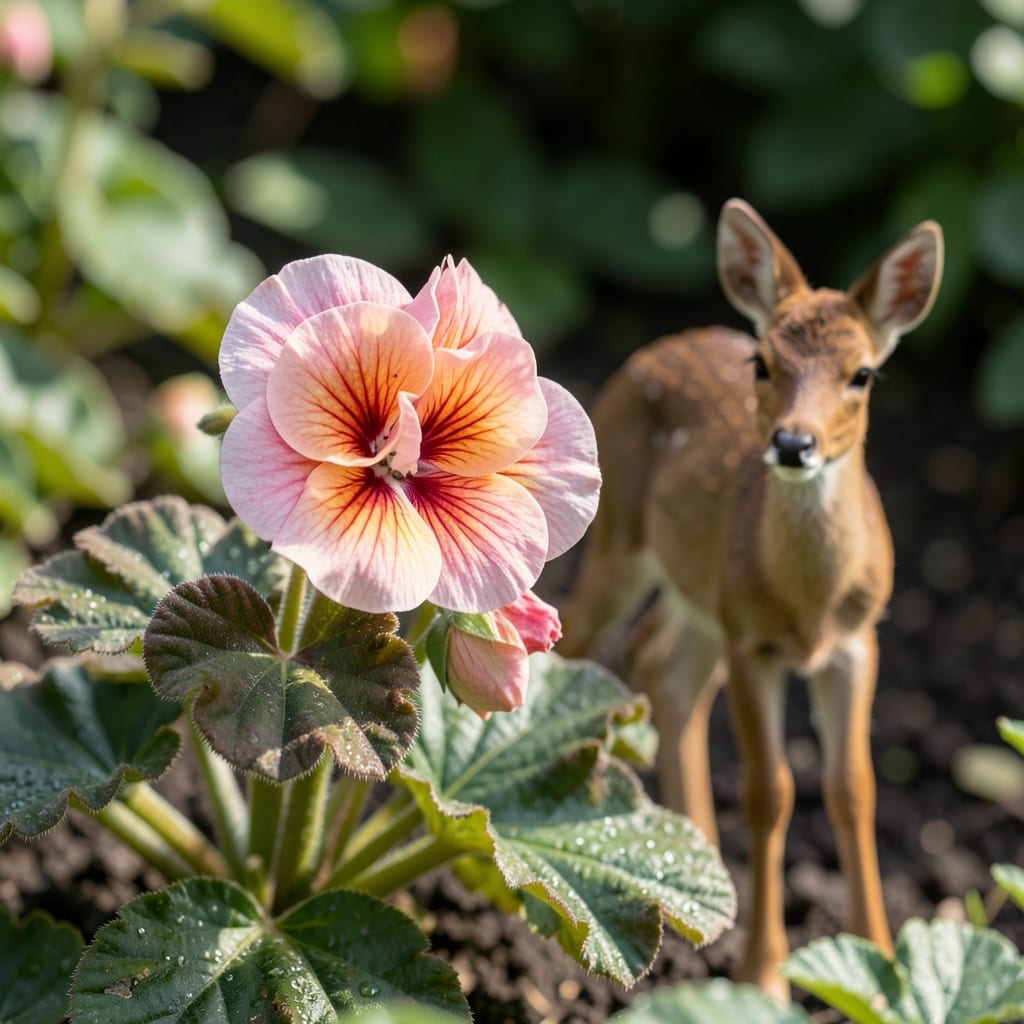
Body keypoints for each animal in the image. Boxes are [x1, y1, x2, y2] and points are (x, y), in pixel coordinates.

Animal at [559, 199, 943, 1000]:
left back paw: (696, 860)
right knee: (576, 638)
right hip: (620, 539)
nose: (794, 444)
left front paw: (881, 963)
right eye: (762, 362)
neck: (810, 607)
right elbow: (772, 793)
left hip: (701, 595)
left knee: (660, 662)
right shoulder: (752, 644)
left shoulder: (860, 642)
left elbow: (853, 787)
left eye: (863, 372)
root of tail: (659, 348)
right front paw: (765, 976)